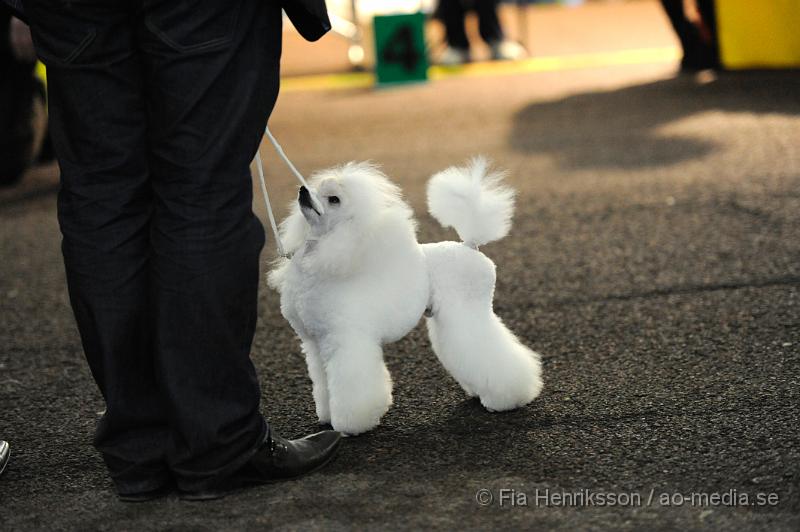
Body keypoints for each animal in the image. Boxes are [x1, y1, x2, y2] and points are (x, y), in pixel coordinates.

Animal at [268, 157, 544, 432]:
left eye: (333, 199)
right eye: (316, 189)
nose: (303, 192)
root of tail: (470, 245)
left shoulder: (347, 339)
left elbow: (353, 387)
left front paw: (352, 425)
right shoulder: (315, 343)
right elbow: (323, 382)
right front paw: (327, 416)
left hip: (466, 312)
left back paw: (507, 398)